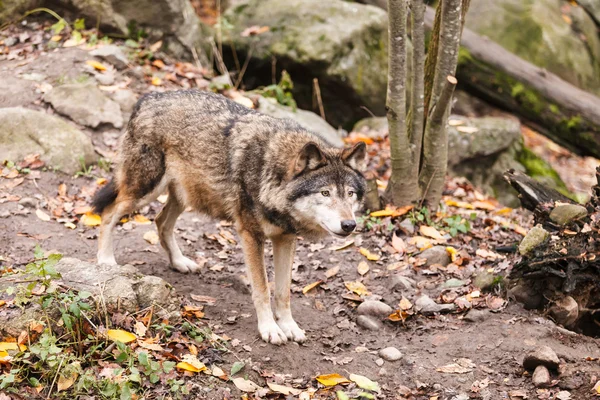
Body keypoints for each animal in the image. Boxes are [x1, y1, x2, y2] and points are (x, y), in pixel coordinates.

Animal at [92, 90, 366, 344]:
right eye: (325, 192)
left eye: (350, 194)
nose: (349, 225)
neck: (270, 172)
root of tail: (148, 97)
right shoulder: (251, 235)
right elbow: (262, 288)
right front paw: (270, 329)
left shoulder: (286, 238)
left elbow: (283, 291)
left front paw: (289, 326)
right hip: (145, 191)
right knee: (108, 213)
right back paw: (105, 260)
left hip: (183, 196)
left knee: (161, 223)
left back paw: (180, 262)